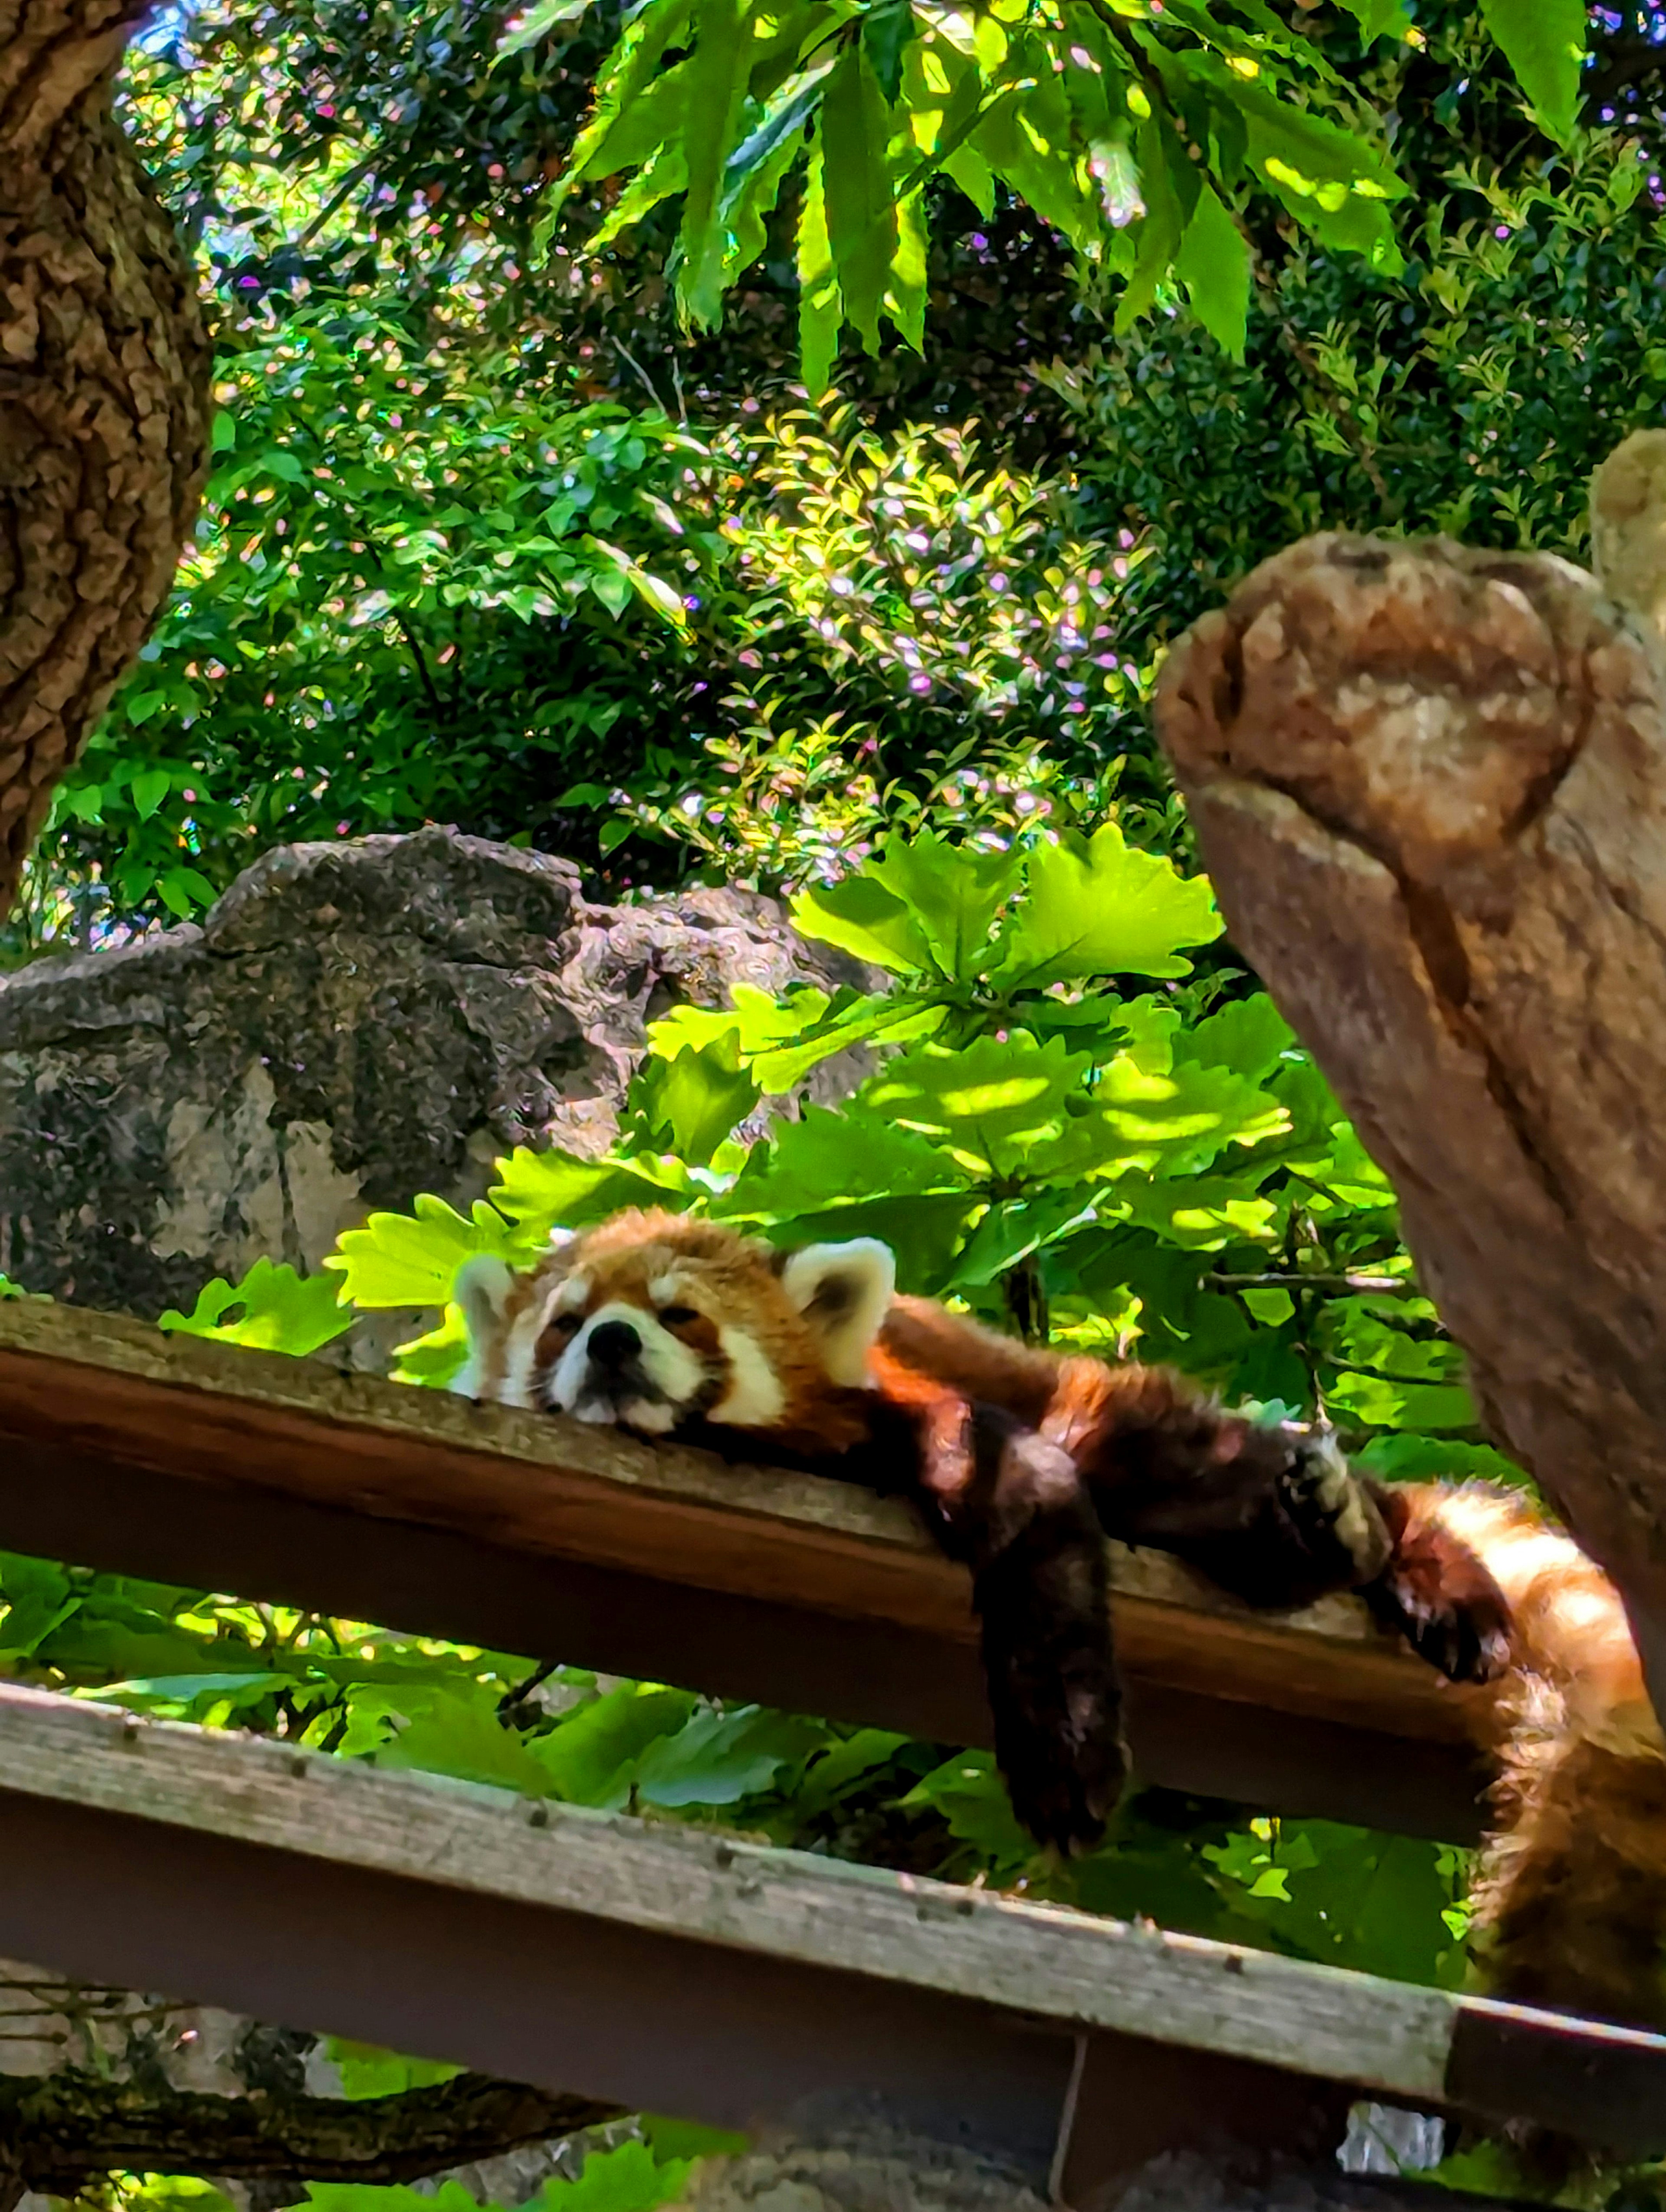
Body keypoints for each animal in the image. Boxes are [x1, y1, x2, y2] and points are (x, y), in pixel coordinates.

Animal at [456, 1221, 1495, 1858]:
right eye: (564, 1325)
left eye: (681, 1315)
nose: (613, 1344)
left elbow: (1034, 1518)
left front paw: (1064, 1756)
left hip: (1100, 1411)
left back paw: (1368, 1540)